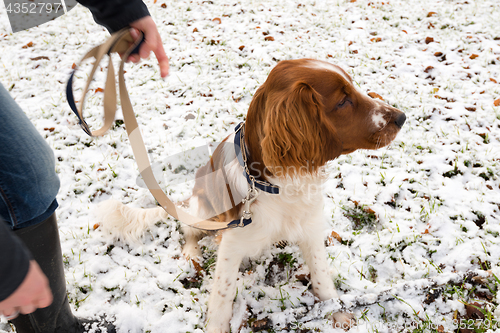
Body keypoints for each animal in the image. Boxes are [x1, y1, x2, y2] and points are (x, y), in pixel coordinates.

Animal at [98, 58, 406, 330]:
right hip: (203, 209)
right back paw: (191, 253)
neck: (280, 183)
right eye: (342, 101)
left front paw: (337, 312)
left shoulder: (310, 227)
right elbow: (222, 295)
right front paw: (216, 328)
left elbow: (321, 275)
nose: (402, 117)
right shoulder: (232, 242)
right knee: (189, 230)